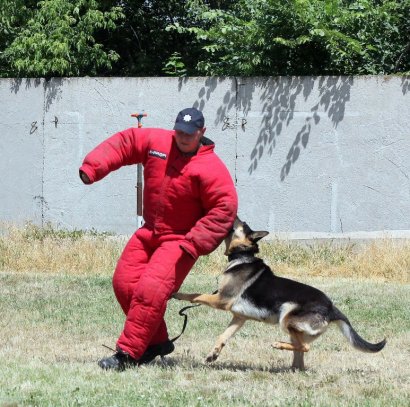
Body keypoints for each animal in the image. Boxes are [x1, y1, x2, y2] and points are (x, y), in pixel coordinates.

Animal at [171, 218, 386, 372]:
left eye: (241, 223)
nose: (234, 213)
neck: (243, 256)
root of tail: (332, 309)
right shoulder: (239, 317)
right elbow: (223, 336)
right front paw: (213, 355)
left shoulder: (221, 300)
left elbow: (196, 295)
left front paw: (177, 293)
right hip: (294, 329)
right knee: (300, 358)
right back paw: (290, 369)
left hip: (287, 317)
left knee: (305, 348)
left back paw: (278, 345)